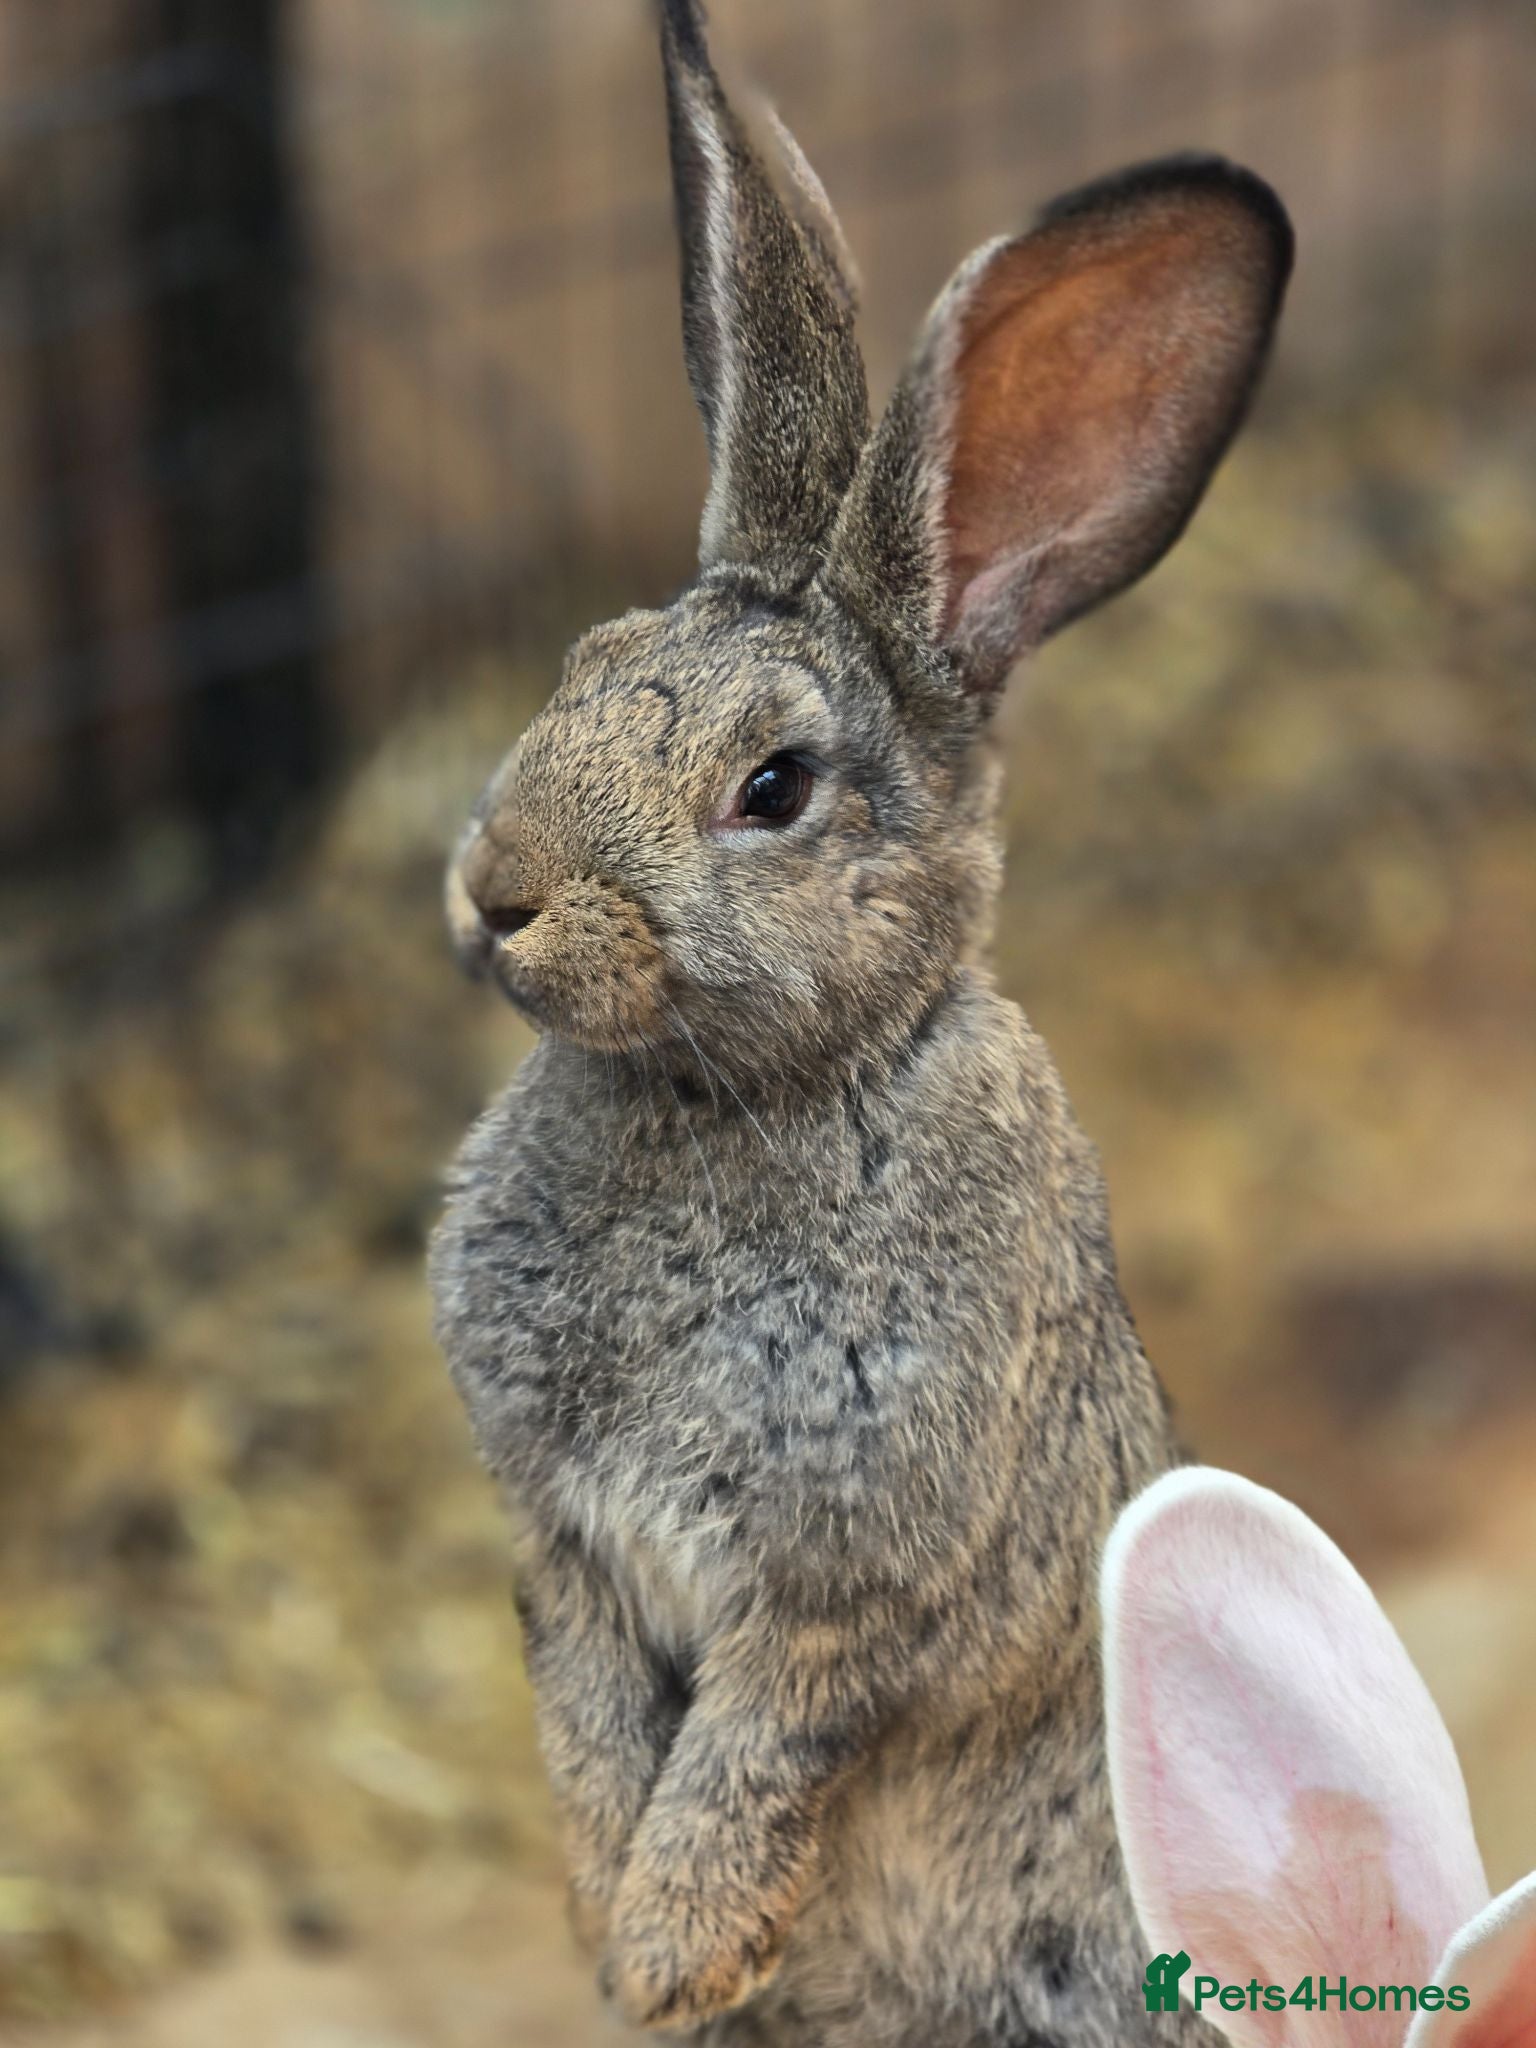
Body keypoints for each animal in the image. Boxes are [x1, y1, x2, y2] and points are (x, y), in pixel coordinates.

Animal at [429, 0, 1292, 2041]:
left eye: (774, 787)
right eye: (585, 663)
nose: (495, 886)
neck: (733, 1095)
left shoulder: (854, 1587)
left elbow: (755, 1751)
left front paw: (667, 1949)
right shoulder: (562, 1546)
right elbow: (591, 1718)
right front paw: (612, 1929)